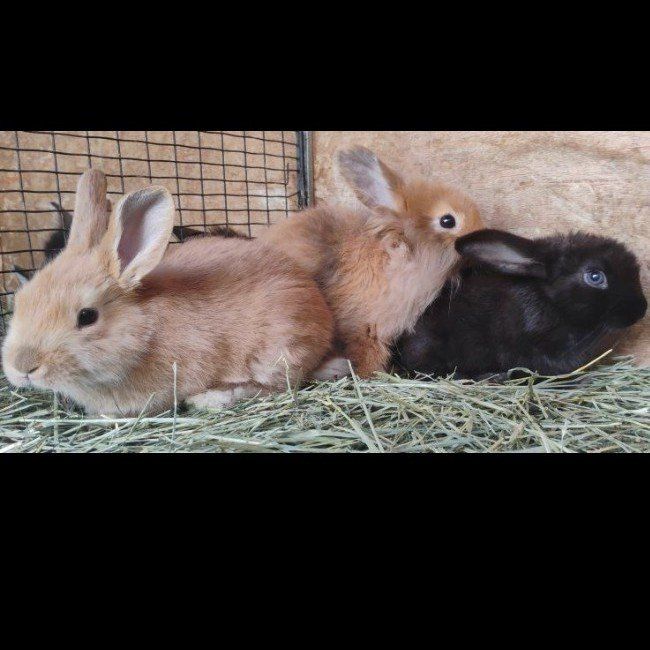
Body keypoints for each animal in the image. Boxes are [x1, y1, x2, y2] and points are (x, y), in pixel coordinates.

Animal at [2, 169, 335, 416]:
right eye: (21, 300)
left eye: (87, 316)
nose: (22, 366)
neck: (144, 332)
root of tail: (320, 308)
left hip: (278, 353)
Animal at [260, 146, 484, 378]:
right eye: (448, 221)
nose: (481, 230)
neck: (399, 253)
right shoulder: (367, 326)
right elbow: (368, 351)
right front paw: (371, 374)